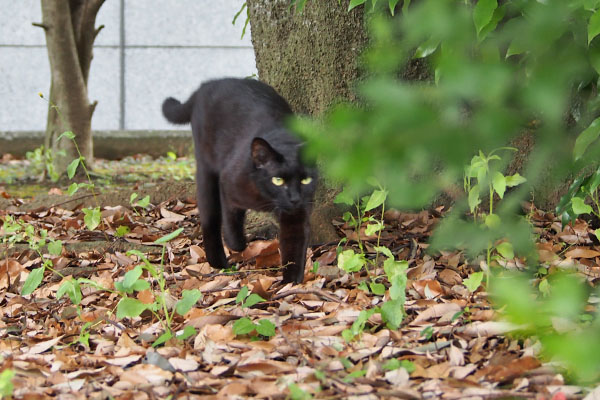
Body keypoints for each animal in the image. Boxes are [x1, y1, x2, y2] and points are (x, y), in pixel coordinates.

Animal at [159, 77, 318, 284]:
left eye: (305, 180)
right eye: (278, 180)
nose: (294, 198)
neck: (267, 199)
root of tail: (206, 85)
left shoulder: (296, 216)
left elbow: (295, 250)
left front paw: (290, 283)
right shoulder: (229, 184)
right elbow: (231, 218)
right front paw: (238, 244)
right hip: (206, 169)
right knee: (210, 217)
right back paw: (217, 261)